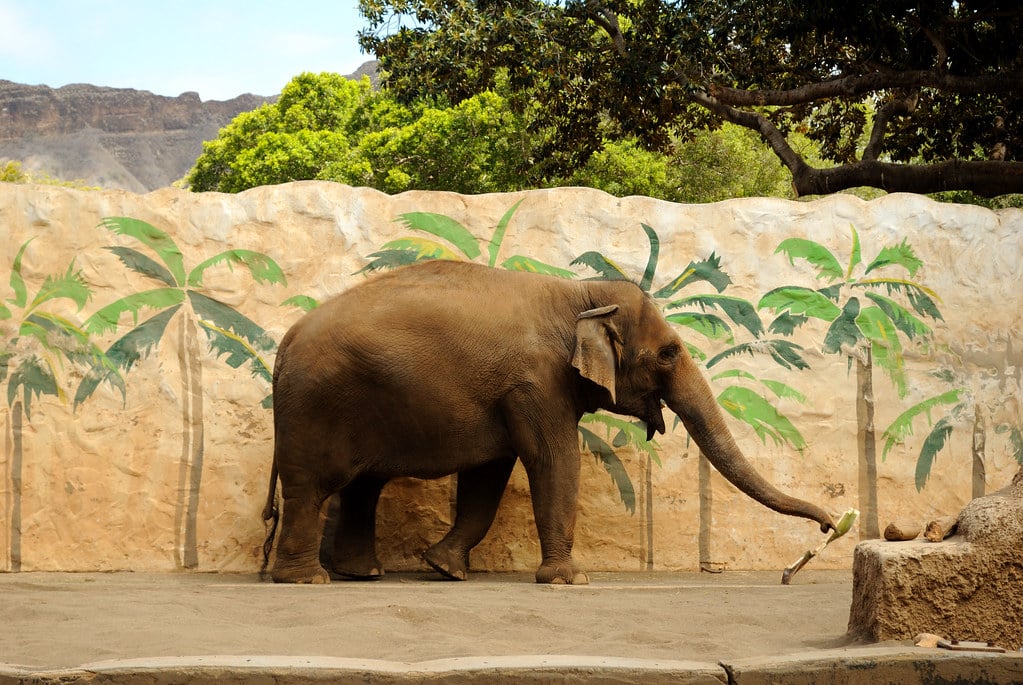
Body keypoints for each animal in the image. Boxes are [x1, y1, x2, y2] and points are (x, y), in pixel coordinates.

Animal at [261, 259, 835, 584]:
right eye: (669, 354)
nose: (831, 526)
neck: (580, 294)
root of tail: (284, 344)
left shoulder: (509, 392)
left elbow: (488, 477)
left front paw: (444, 568)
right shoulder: (537, 382)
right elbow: (553, 461)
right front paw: (570, 581)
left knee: (363, 486)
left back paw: (361, 574)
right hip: (314, 408)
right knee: (313, 488)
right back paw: (307, 581)